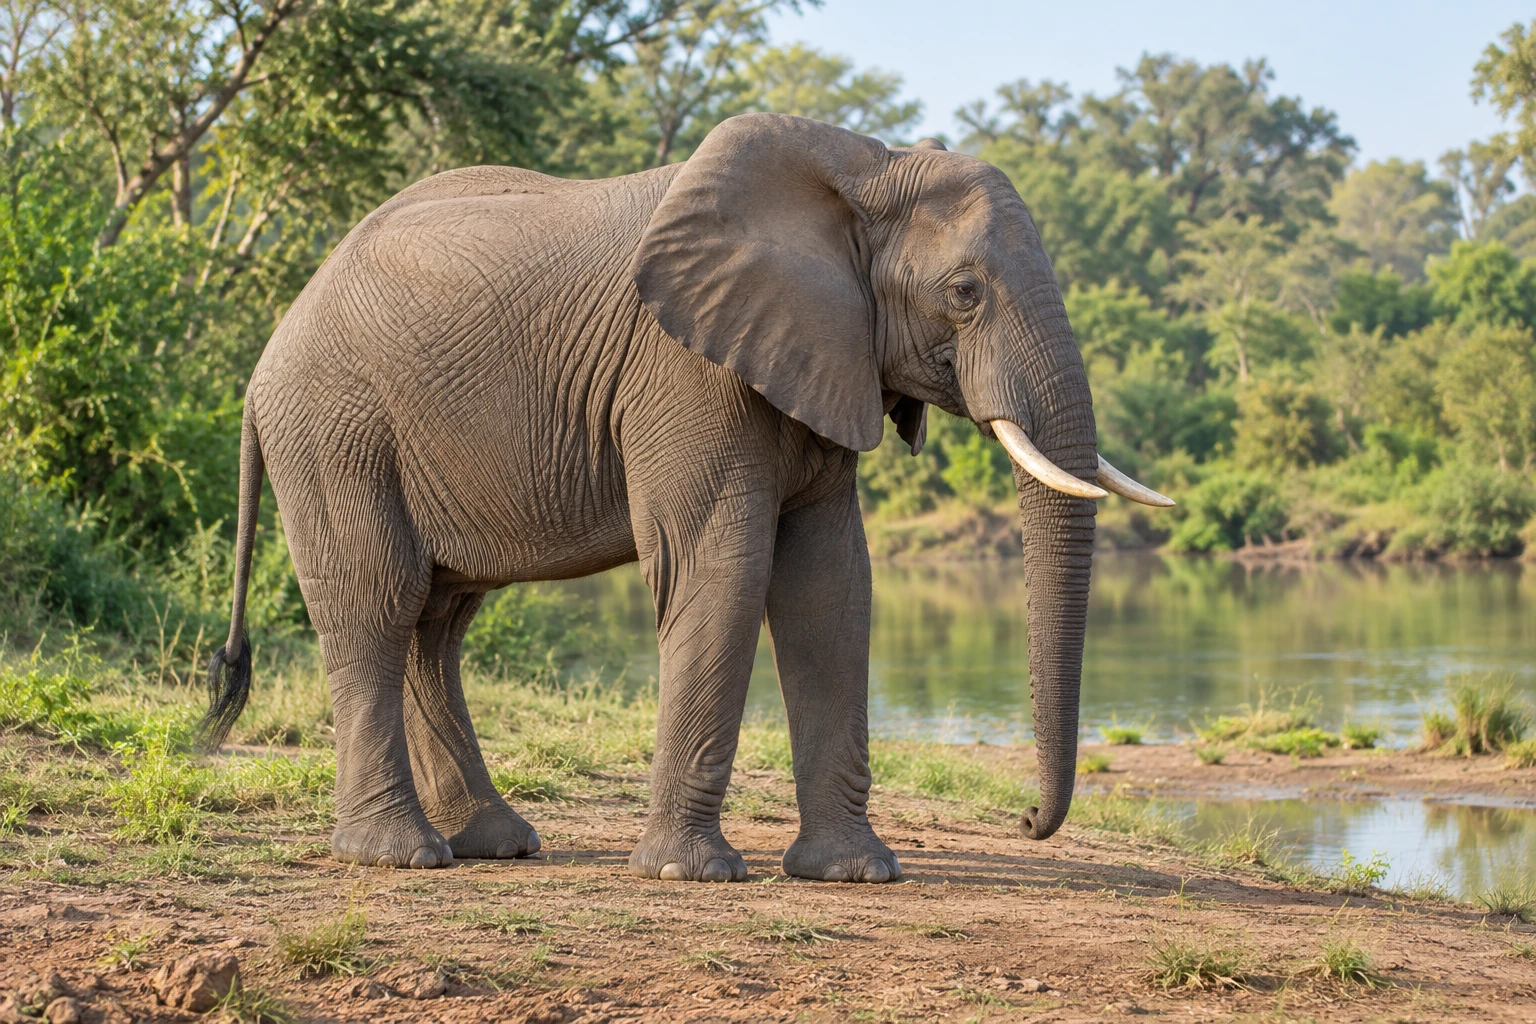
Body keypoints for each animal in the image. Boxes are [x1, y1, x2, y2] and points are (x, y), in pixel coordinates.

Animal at [200, 113, 1171, 882]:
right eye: (964, 294)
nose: (1027, 821)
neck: (862, 169)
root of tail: (266, 355)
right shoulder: (686, 370)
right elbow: (723, 568)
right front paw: (690, 873)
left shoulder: (819, 354)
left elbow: (832, 586)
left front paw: (855, 873)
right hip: (335, 429)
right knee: (380, 600)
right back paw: (398, 855)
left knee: (438, 620)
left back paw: (495, 842)